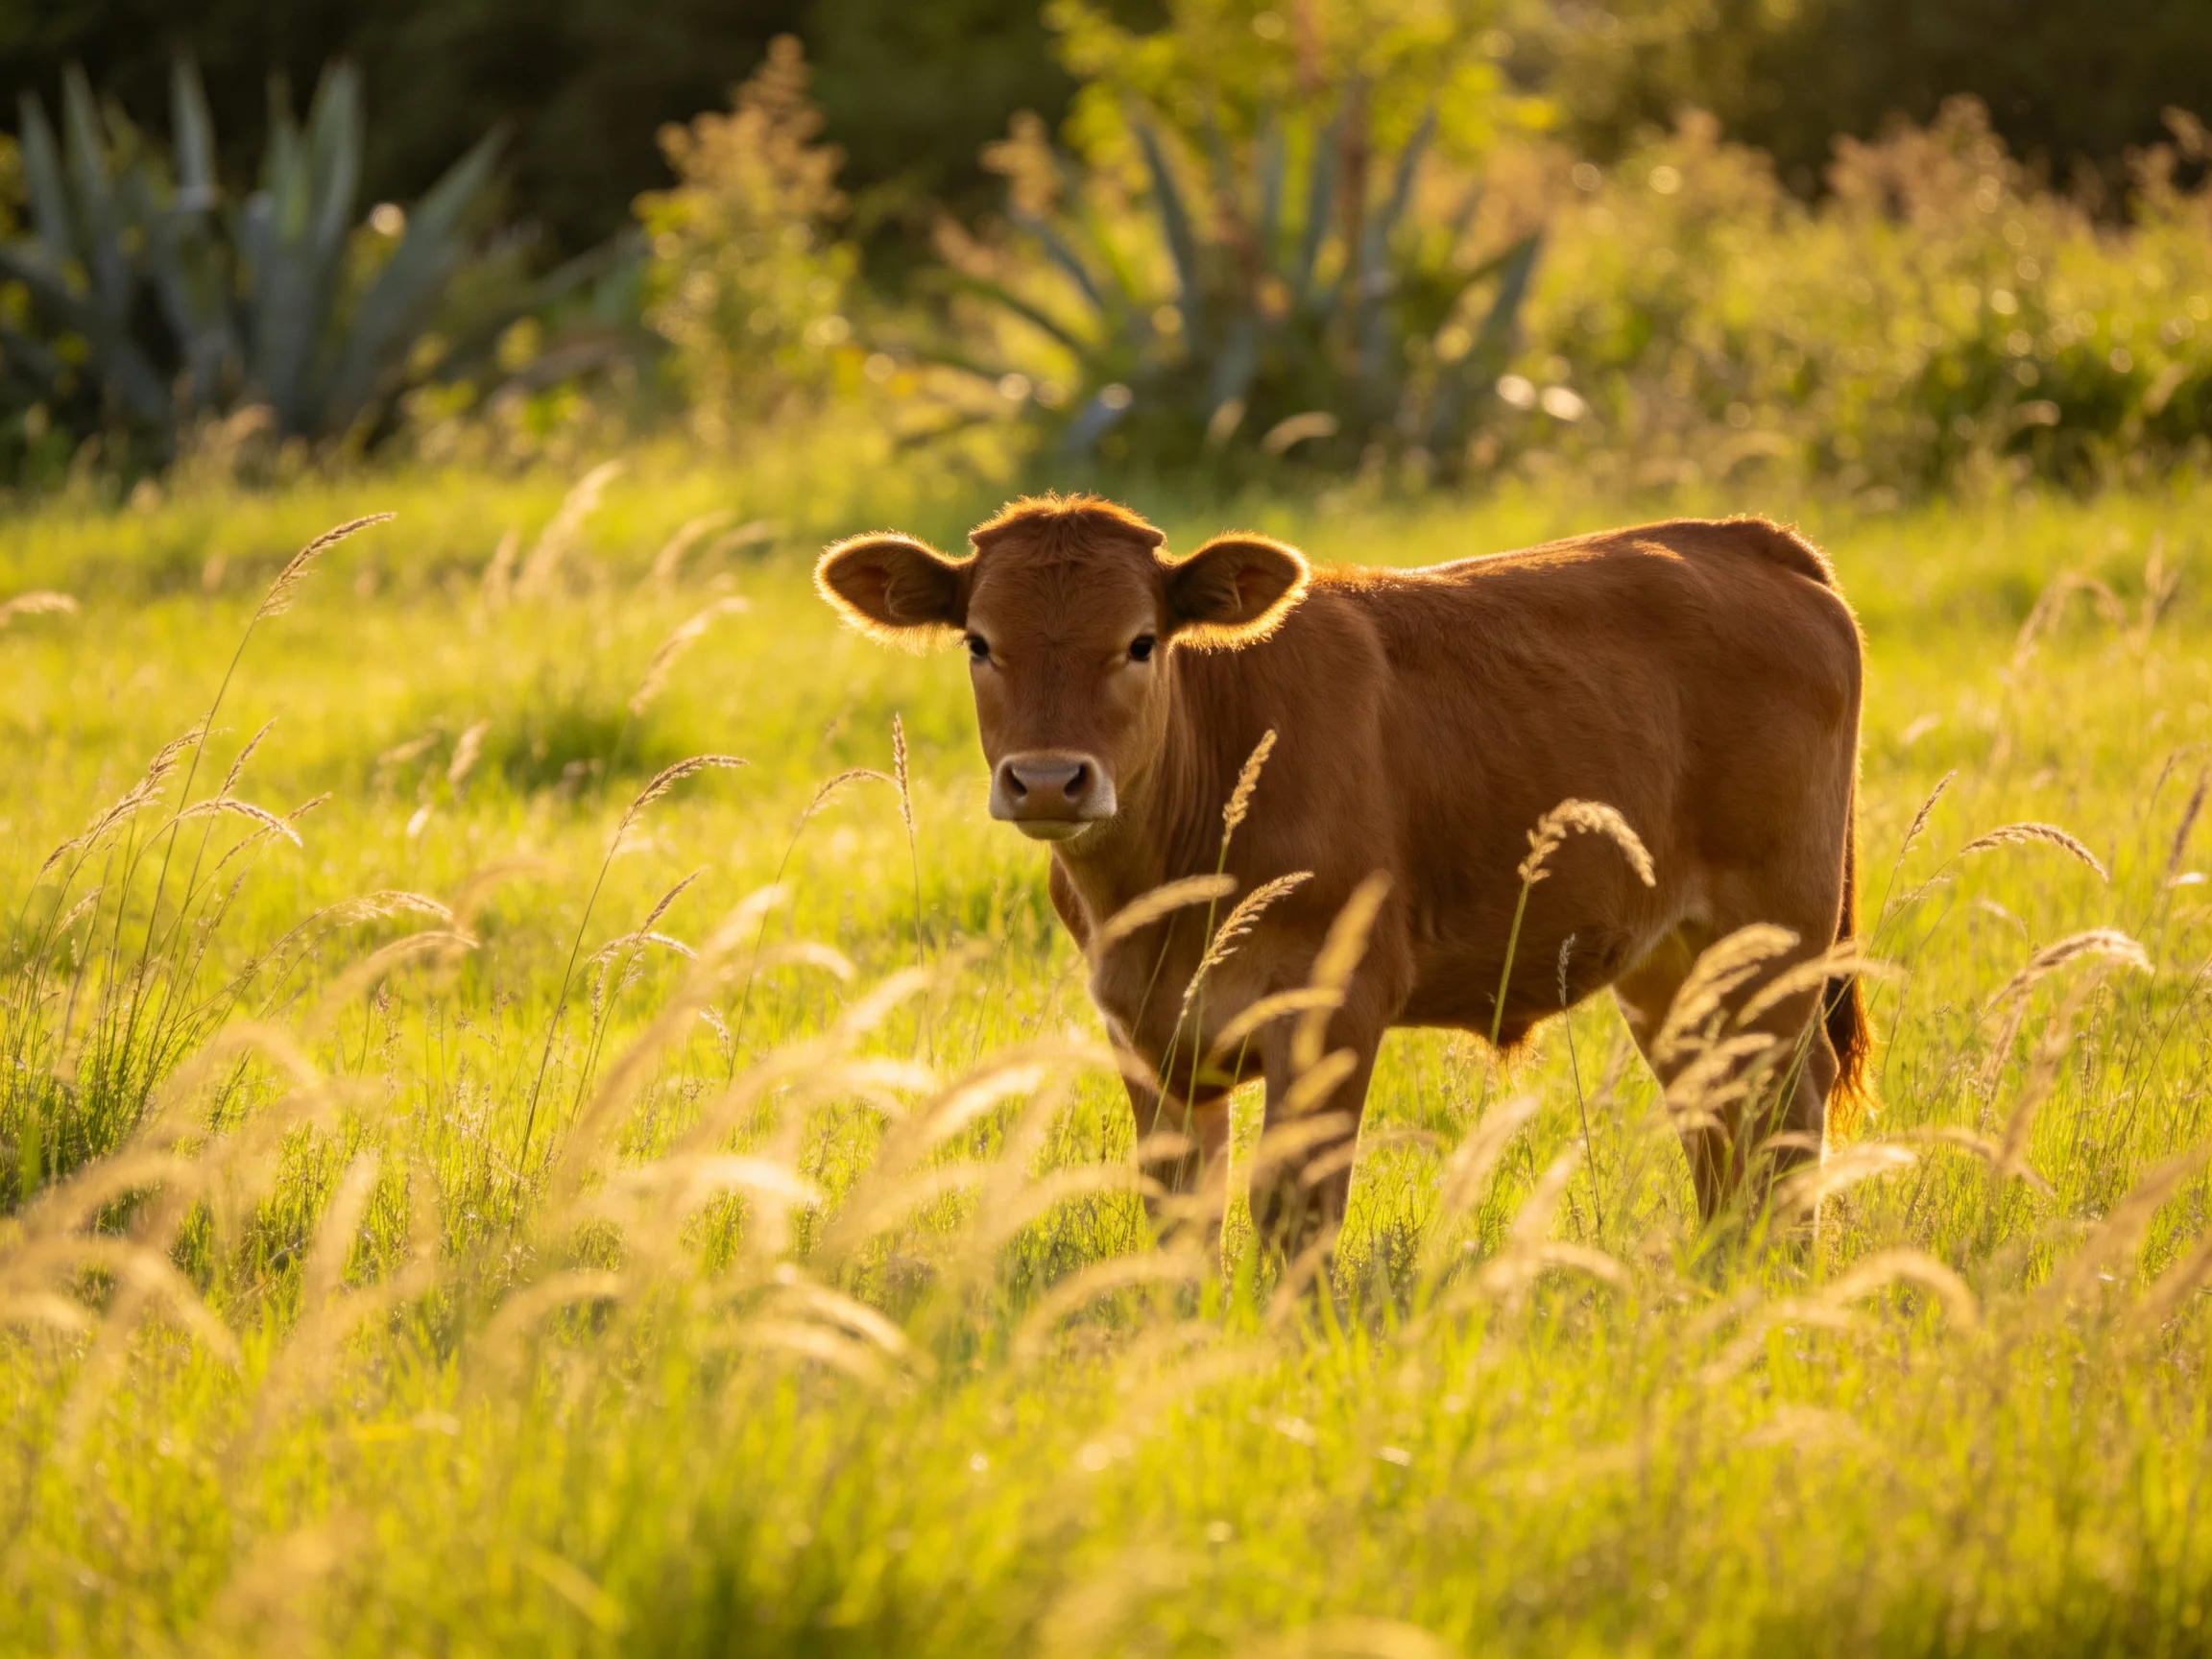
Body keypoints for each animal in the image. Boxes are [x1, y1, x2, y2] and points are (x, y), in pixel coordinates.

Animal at [816, 494, 1871, 1253]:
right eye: (980, 642)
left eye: (1141, 642)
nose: (1046, 779)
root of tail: (1744, 539)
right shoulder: (1145, 1033)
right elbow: (1180, 1217)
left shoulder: (1335, 1002)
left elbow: (1296, 1209)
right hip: (1670, 961)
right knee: (1718, 1110)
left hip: (1776, 930)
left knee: (1786, 1103)